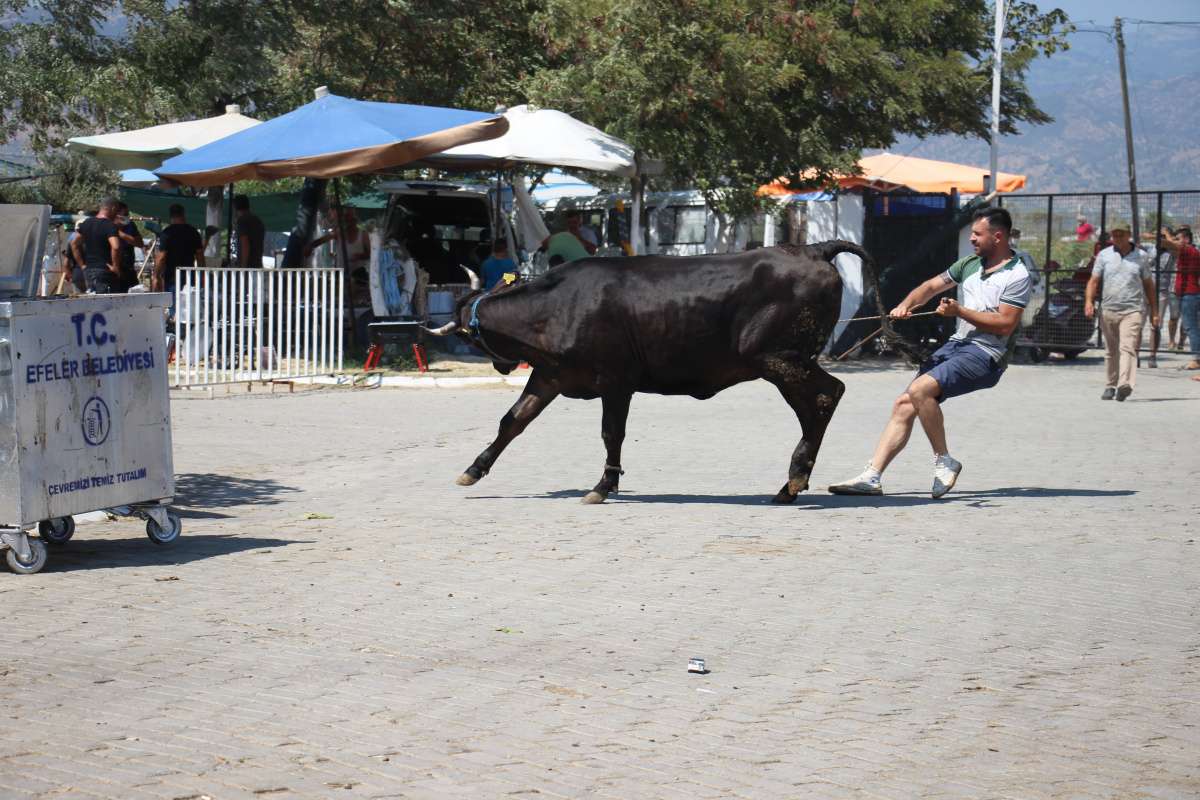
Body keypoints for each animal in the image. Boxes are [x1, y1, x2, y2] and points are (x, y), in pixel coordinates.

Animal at [429, 242, 892, 506]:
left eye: (470, 337)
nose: (500, 365)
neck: (558, 305)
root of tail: (812, 249)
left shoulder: (616, 382)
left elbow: (611, 434)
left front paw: (603, 485)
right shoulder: (549, 378)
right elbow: (513, 421)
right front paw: (474, 469)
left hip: (780, 359)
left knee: (826, 395)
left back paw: (794, 479)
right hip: (784, 365)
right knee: (816, 406)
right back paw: (790, 484)